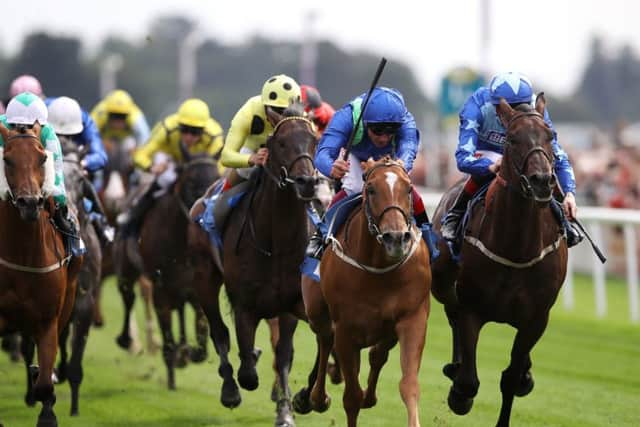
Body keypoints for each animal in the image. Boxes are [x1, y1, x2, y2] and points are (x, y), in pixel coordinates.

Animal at [0, 122, 82, 426]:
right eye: (8, 159)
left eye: (42, 158)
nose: (30, 203)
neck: (23, 254)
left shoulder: (47, 319)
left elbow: (46, 384)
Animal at [294, 157, 430, 427]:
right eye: (371, 189)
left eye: (409, 189)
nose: (396, 238)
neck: (380, 268)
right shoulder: (346, 330)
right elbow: (351, 397)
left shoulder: (413, 317)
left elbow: (409, 385)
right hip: (316, 310)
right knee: (325, 339)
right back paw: (316, 397)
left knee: (376, 354)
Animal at [432, 94, 568, 427]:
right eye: (512, 139)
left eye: (550, 136)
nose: (542, 181)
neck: (516, 247)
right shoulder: (472, 307)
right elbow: (469, 381)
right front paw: (459, 395)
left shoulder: (536, 317)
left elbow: (511, 378)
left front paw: (523, 378)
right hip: (442, 284)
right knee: (451, 313)